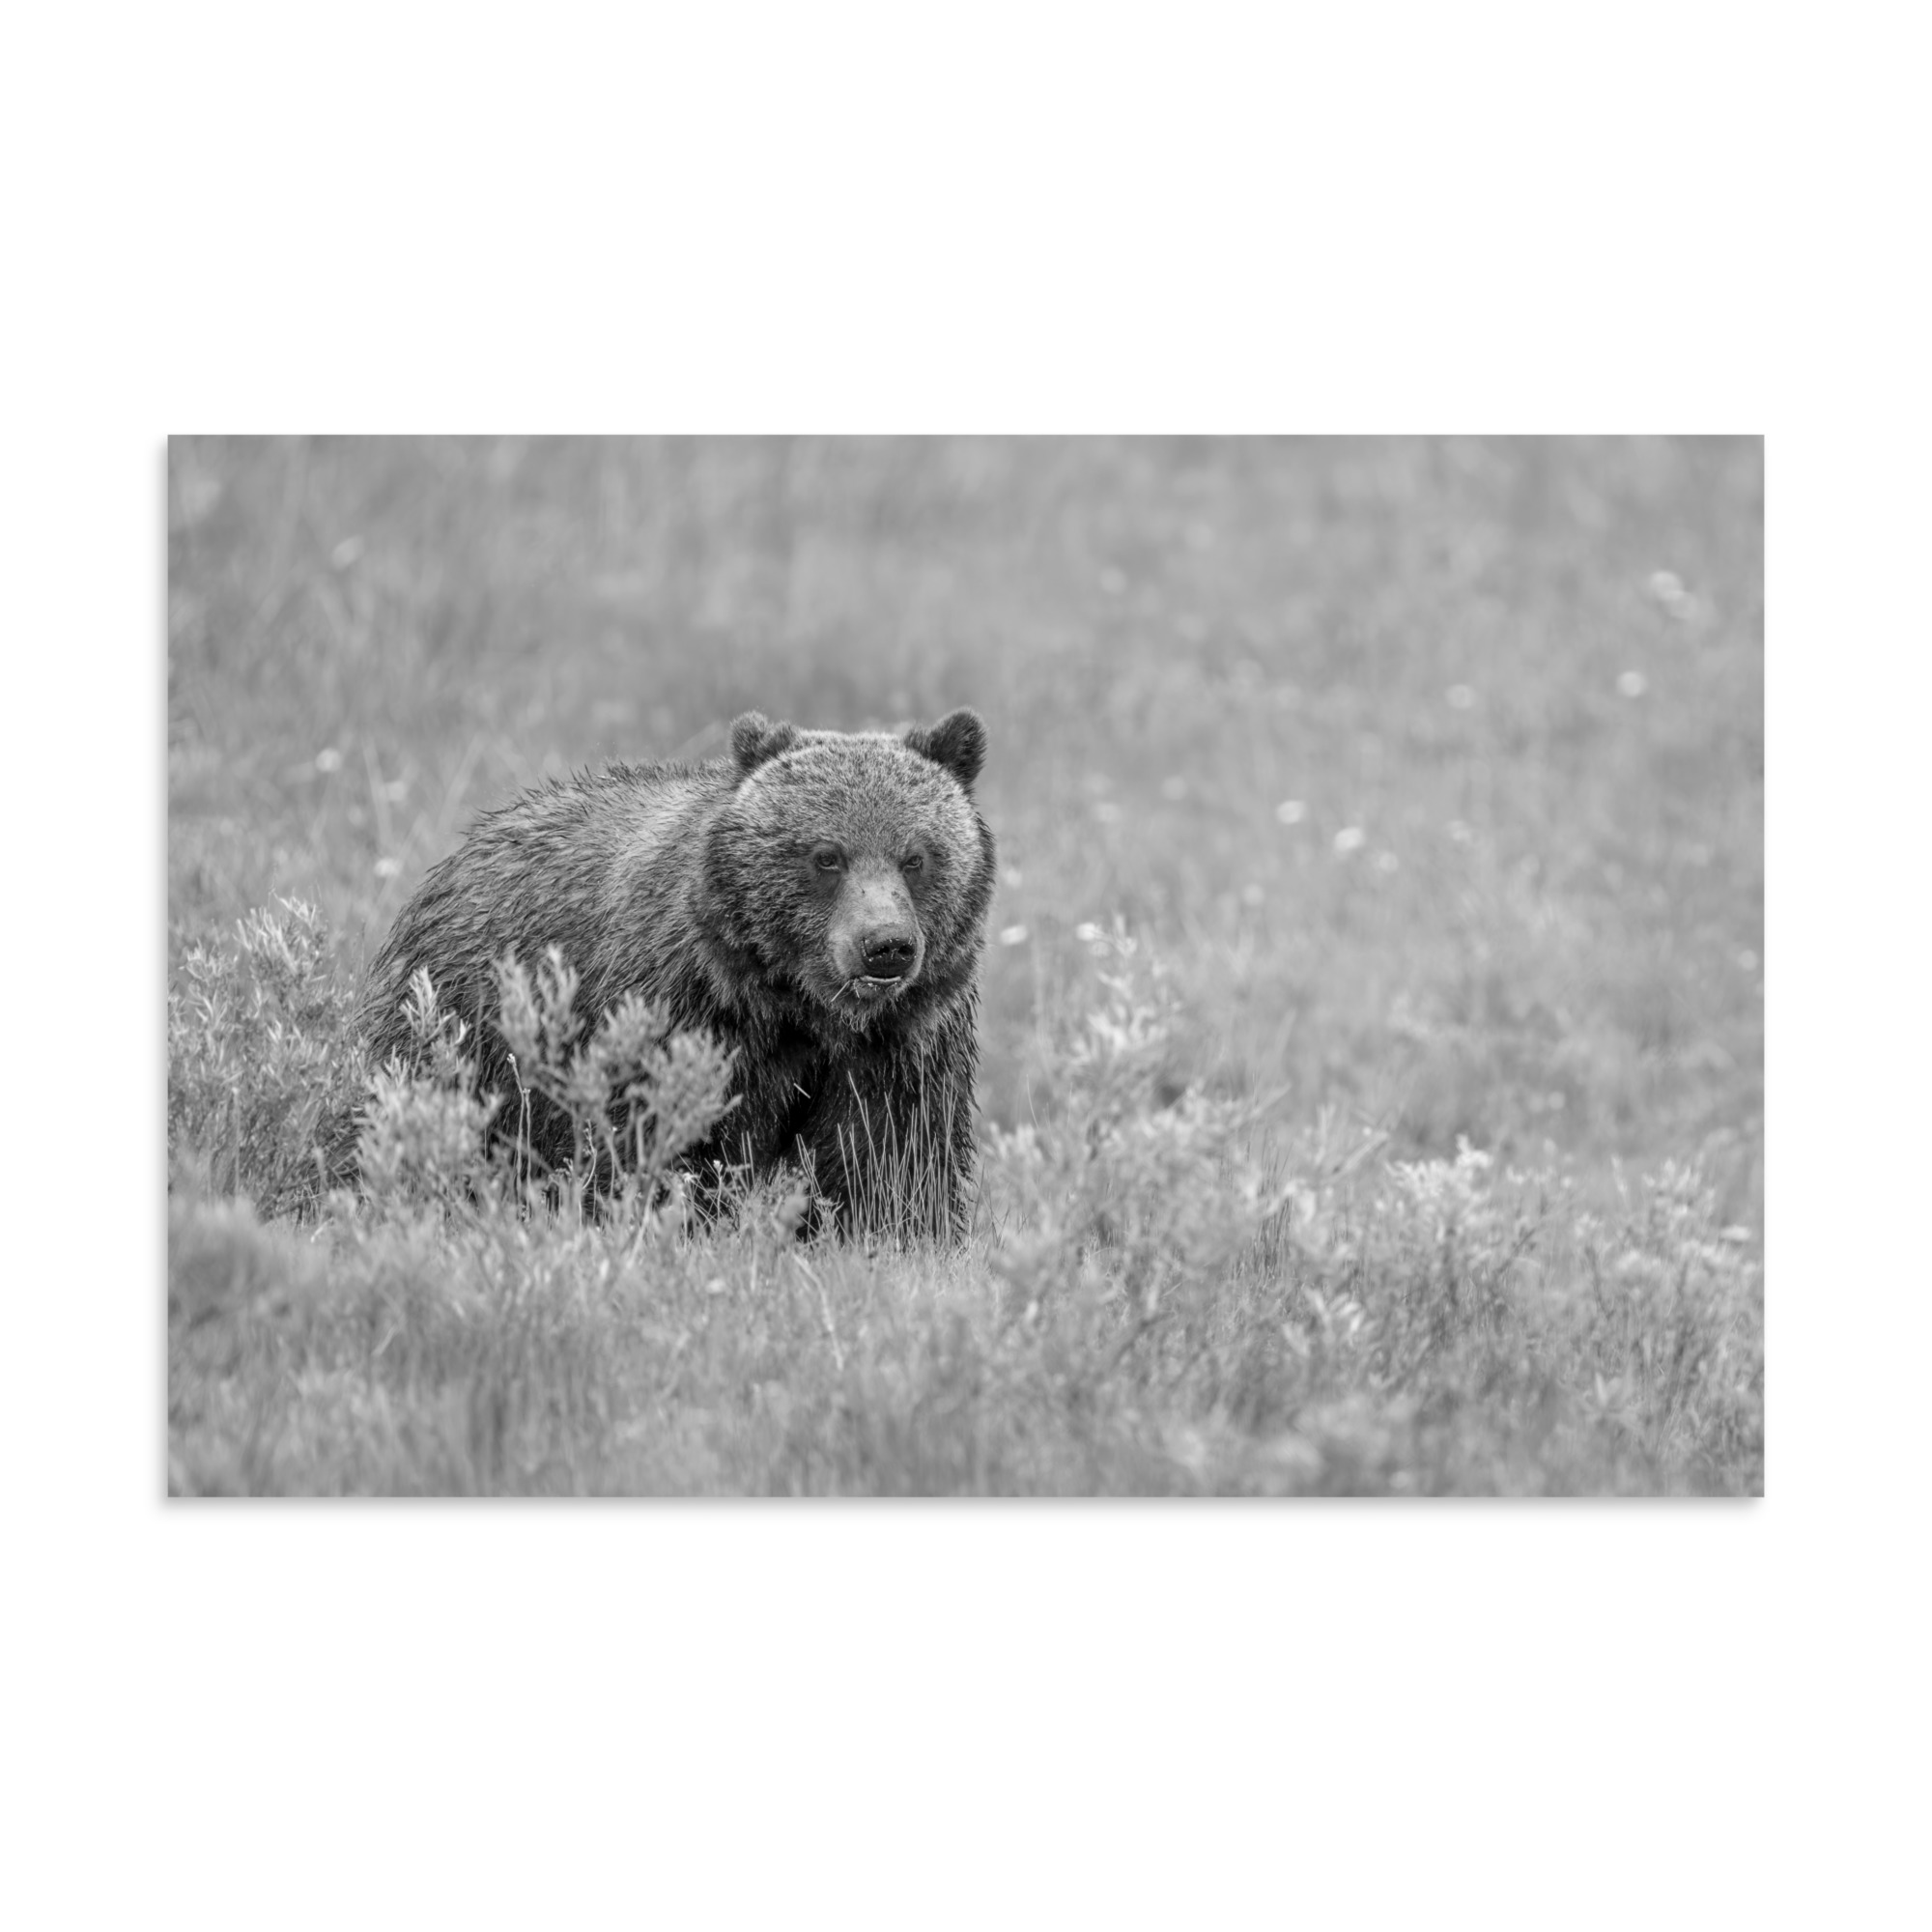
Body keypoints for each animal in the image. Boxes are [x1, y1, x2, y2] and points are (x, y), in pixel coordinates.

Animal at [358, 708, 996, 1238]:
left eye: (916, 857)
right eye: (826, 856)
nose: (885, 946)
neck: (799, 1006)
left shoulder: (903, 1043)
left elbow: (892, 1160)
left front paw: (893, 1236)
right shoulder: (682, 1011)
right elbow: (661, 1139)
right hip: (464, 1025)